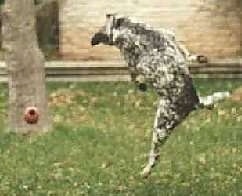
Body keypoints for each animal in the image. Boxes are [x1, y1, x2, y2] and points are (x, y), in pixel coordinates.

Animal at [90, 14, 229, 178]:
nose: (93, 39)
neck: (132, 28)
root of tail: (194, 102)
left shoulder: (134, 63)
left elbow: (134, 75)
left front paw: (141, 85)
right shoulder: (177, 46)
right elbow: (188, 55)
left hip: (160, 128)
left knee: (155, 156)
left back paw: (145, 172)